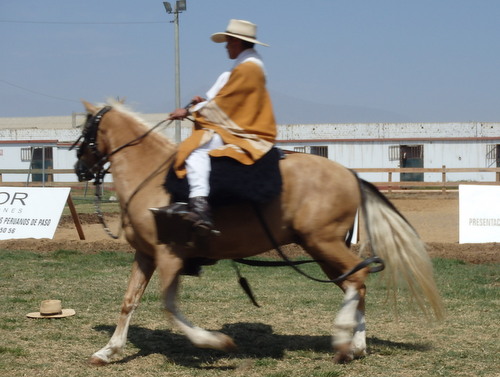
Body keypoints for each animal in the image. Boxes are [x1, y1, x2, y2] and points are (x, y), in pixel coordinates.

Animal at [73, 100, 442, 364]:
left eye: (86, 127)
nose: (79, 167)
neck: (152, 177)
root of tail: (350, 174)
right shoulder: (146, 255)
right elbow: (129, 301)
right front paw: (108, 351)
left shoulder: (170, 256)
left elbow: (169, 306)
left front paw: (216, 342)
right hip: (324, 250)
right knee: (357, 283)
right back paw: (356, 345)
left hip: (323, 244)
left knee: (358, 281)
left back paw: (343, 340)